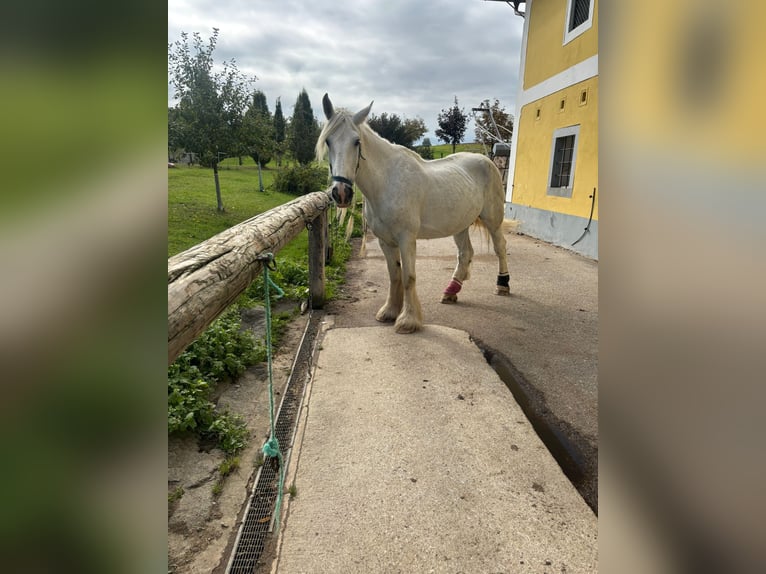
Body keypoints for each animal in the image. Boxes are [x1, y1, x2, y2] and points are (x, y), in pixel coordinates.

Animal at [316, 93, 510, 334]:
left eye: (356, 141)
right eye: (328, 141)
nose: (341, 193)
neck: (386, 182)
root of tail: (487, 161)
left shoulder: (406, 238)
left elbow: (408, 276)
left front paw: (408, 320)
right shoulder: (385, 241)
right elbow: (394, 275)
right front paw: (390, 311)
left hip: (493, 219)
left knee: (500, 247)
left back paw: (502, 285)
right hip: (460, 224)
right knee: (465, 253)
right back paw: (451, 290)